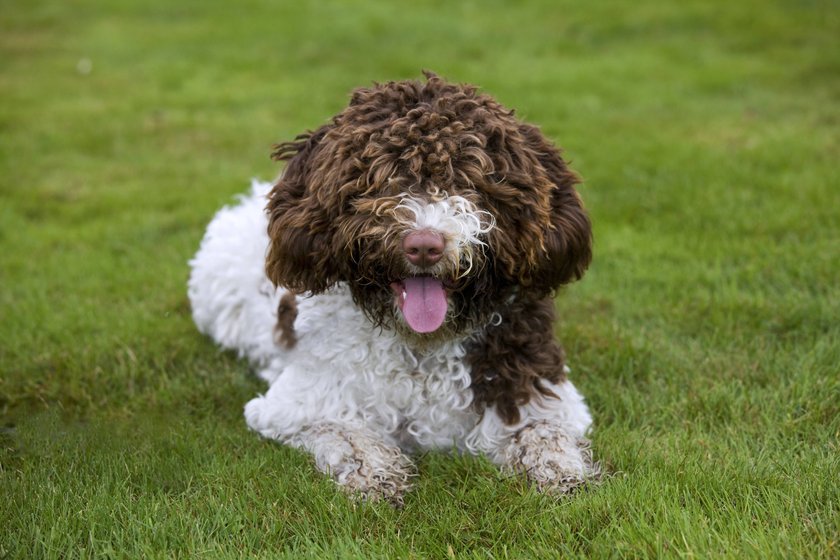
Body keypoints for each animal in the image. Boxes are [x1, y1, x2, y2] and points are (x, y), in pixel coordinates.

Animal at [189, 71, 596, 504]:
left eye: (470, 177)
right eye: (381, 177)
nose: (424, 245)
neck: (422, 348)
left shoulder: (539, 392)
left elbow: (545, 432)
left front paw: (559, 472)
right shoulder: (294, 405)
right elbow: (345, 432)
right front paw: (375, 474)